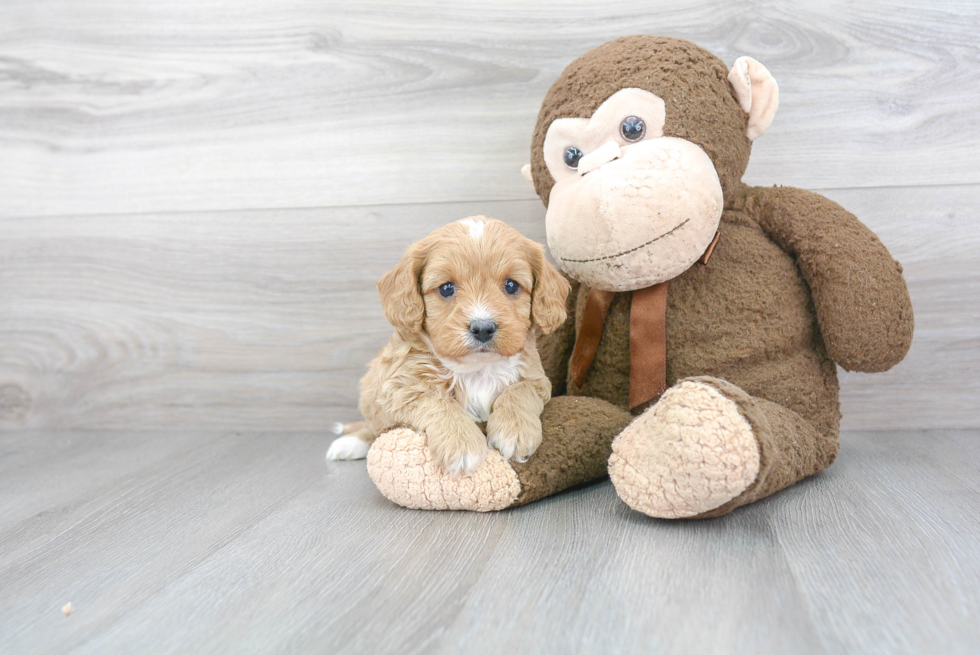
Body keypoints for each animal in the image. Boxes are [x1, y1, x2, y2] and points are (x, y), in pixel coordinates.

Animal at [330, 218, 572, 474]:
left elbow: (519, 390)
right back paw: (350, 443)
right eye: (446, 288)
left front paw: (514, 430)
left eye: (511, 285)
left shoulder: (537, 378)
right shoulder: (400, 387)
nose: (483, 328)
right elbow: (438, 402)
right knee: (373, 426)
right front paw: (462, 444)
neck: (477, 369)